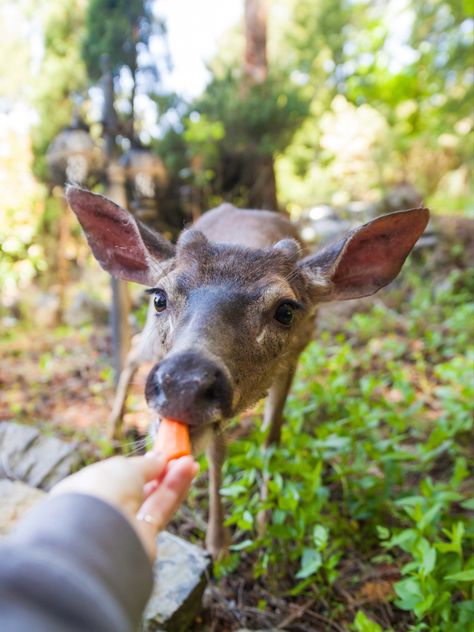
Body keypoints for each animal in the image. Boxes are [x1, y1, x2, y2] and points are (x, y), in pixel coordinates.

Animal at [64, 185, 430, 556]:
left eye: (285, 311)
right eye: (160, 298)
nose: (183, 383)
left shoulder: (294, 358)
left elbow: (271, 439)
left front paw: (266, 525)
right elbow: (217, 452)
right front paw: (218, 543)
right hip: (151, 341)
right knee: (132, 352)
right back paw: (111, 432)